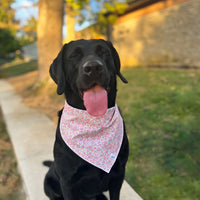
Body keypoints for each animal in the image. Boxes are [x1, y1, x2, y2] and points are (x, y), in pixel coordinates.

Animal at [43, 39, 129, 200]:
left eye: (104, 52)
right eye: (74, 55)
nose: (93, 67)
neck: (93, 121)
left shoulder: (119, 174)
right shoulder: (68, 182)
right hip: (49, 184)